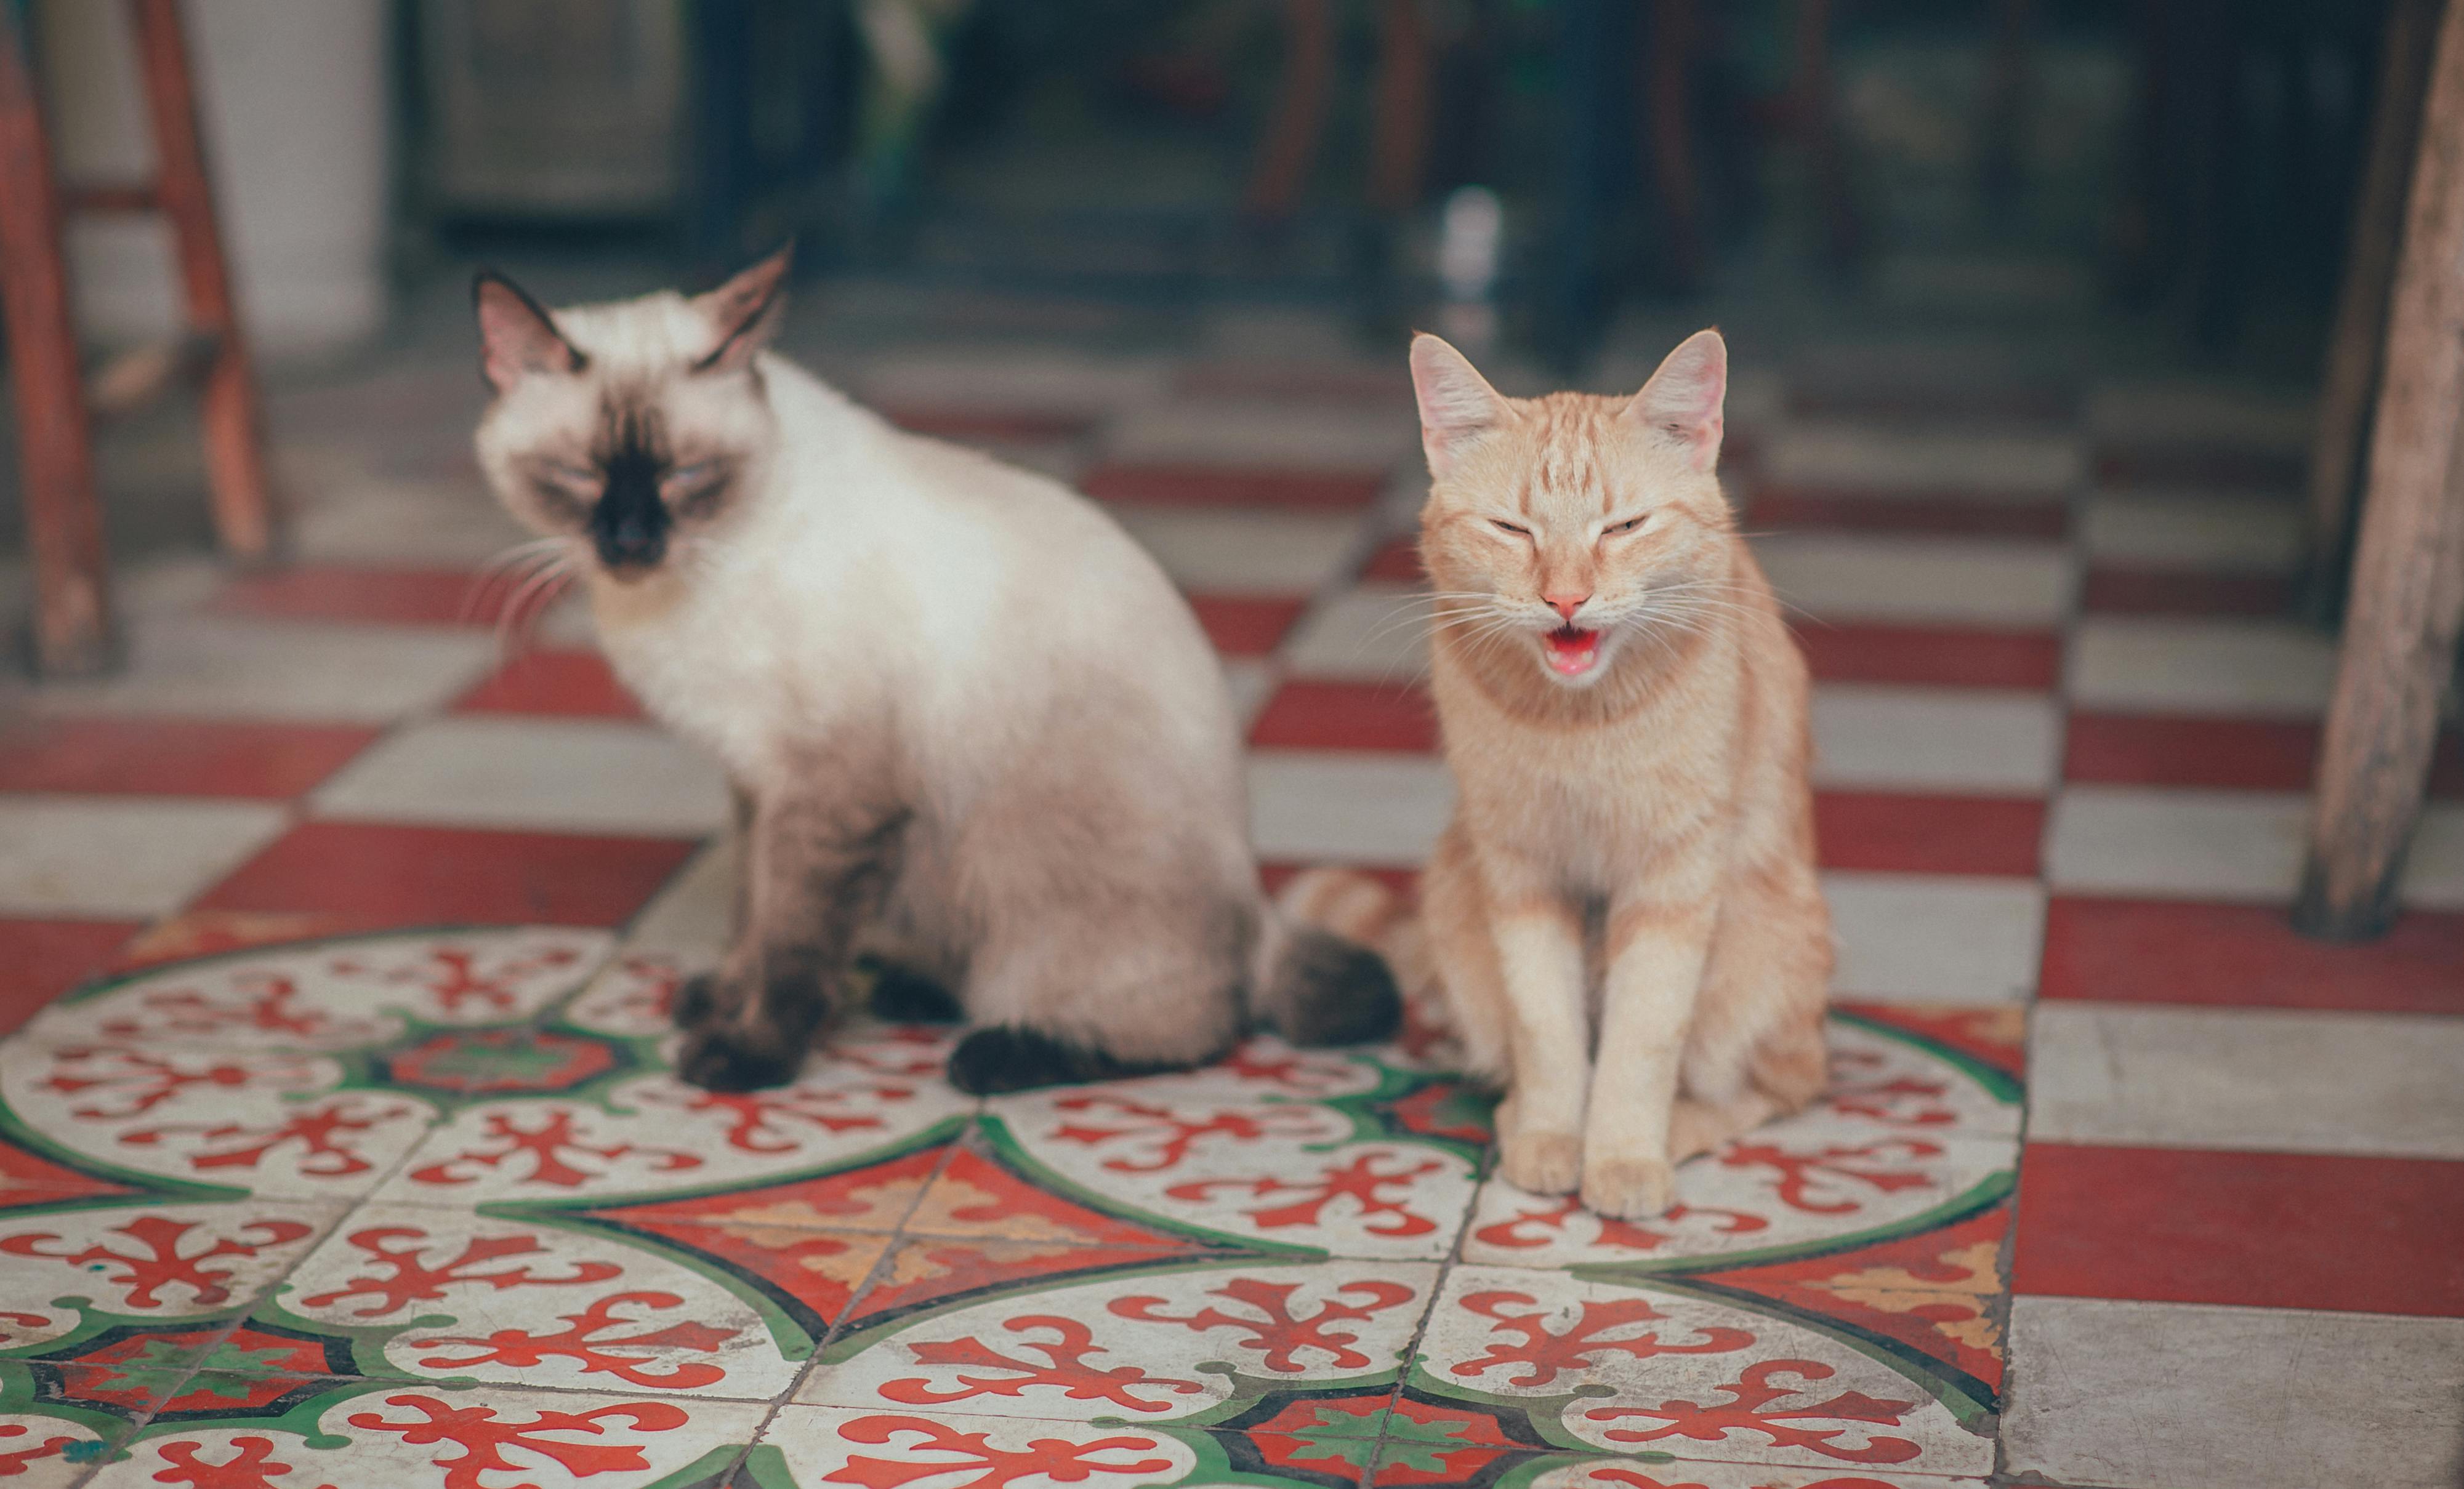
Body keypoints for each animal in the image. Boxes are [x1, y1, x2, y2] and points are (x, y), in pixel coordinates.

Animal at [468, 250, 1399, 1094]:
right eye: (577, 476)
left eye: (686, 477)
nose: (629, 542)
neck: (683, 585)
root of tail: (1259, 910)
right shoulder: (756, 781)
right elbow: (751, 910)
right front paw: (723, 996)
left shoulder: (824, 792)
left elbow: (791, 941)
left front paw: (747, 1055)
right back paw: (910, 990)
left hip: (1032, 907)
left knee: (1198, 1028)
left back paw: (998, 1052)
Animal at [1360, 335, 1843, 1222]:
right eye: (1511, 529)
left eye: (1623, 527)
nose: (1566, 599)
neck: (1577, 724)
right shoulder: (1518, 873)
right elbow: (1546, 1030)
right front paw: (1554, 1133)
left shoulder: (1672, 883)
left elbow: (1640, 1040)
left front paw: (1620, 1154)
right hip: (1456, 906)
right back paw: (1519, 1115)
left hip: (1761, 946)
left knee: (1782, 1082)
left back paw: (1680, 1126)